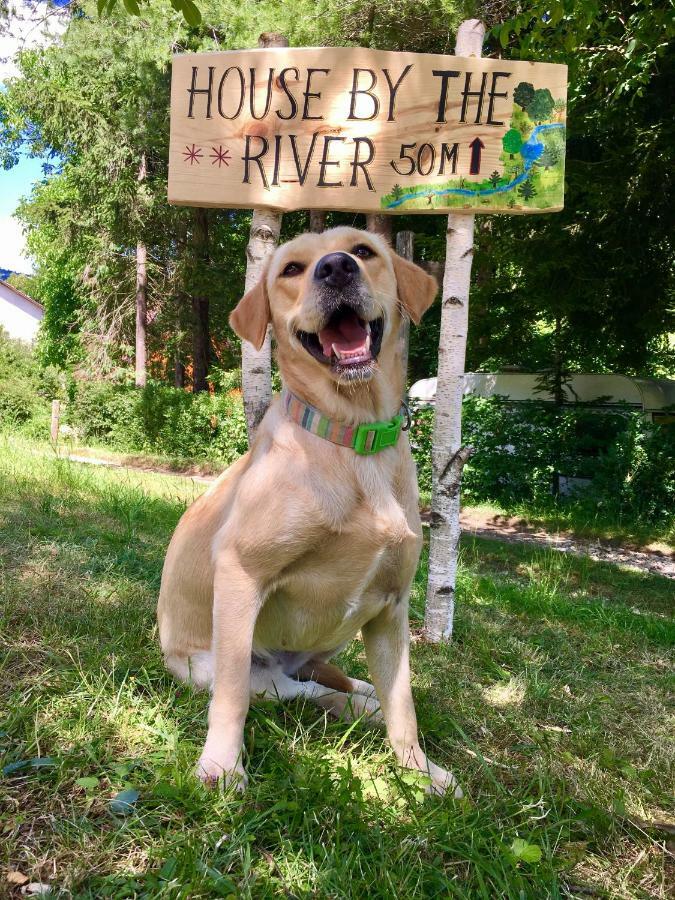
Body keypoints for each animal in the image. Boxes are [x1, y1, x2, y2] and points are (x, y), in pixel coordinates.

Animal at [158, 225, 462, 796]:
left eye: (364, 250)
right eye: (292, 269)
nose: (337, 268)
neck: (354, 439)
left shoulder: (392, 608)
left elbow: (404, 706)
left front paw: (419, 771)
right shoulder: (241, 573)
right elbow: (230, 699)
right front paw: (221, 766)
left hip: (332, 644)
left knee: (333, 682)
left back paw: (364, 692)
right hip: (232, 668)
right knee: (303, 693)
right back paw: (355, 704)